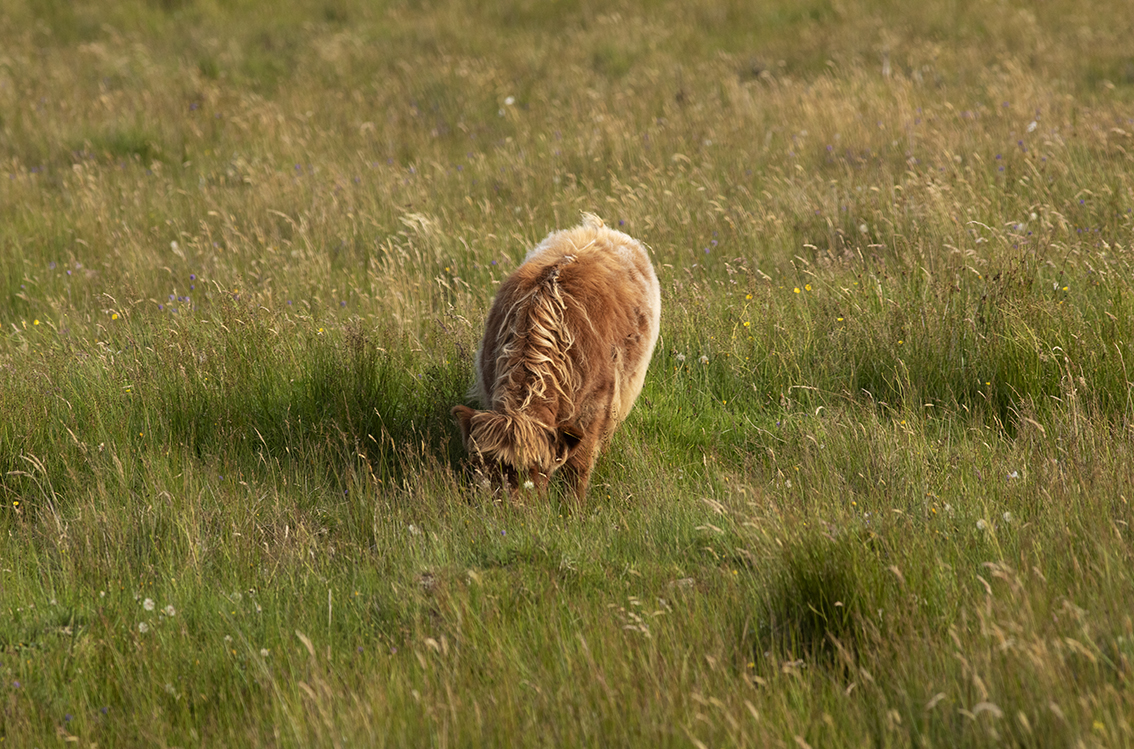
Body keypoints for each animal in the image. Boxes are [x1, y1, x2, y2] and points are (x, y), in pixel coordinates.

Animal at [451, 213, 662, 499]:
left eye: (539, 469)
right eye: (484, 466)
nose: (510, 505)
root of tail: (599, 229)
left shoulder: (594, 410)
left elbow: (579, 467)